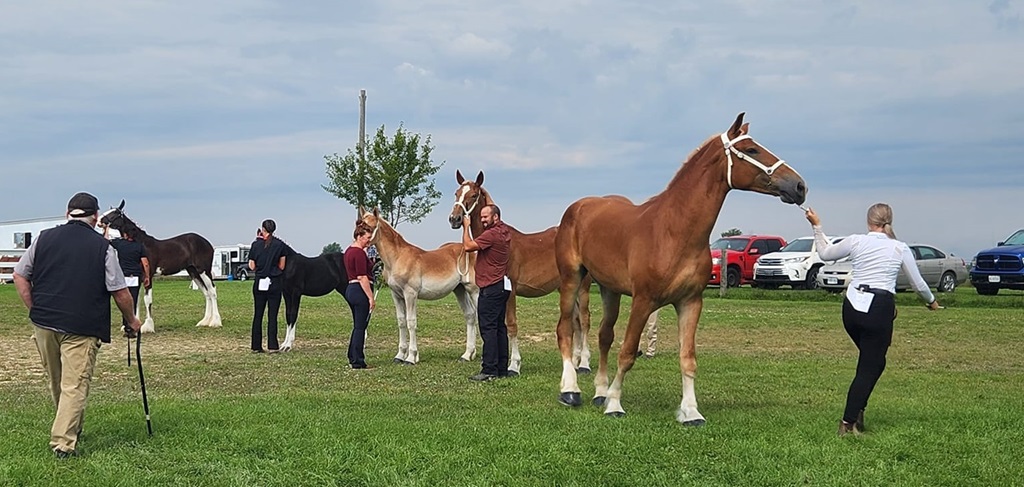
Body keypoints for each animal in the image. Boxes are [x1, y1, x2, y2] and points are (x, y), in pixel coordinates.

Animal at [99, 200, 222, 333]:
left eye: (115, 213)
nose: (100, 220)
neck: (141, 244)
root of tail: (207, 243)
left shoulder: (148, 276)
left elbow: (147, 300)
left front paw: (147, 327)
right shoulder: (138, 277)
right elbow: (136, 300)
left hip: (203, 271)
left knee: (212, 291)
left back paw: (215, 322)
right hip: (193, 272)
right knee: (206, 293)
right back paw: (204, 321)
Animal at [360, 208, 480, 364]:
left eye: (368, 227)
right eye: (358, 224)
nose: (359, 240)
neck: (398, 257)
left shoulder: (410, 294)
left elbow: (411, 322)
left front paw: (411, 357)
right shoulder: (396, 295)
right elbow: (401, 321)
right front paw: (400, 355)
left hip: (474, 290)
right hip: (460, 290)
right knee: (471, 315)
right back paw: (467, 354)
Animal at [447, 170, 660, 374]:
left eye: (473, 195)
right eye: (456, 193)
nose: (454, 219)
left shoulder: (511, 291)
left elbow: (512, 325)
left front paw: (514, 366)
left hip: (583, 289)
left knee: (584, 320)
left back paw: (584, 364)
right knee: (575, 322)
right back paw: (574, 362)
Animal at [553, 113, 806, 424]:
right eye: (751, 150)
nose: (799, 186)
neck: (673, 230)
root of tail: (577, 207)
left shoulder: (690, 302)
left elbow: (688, 358)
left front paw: (691, 411)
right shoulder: (643, 301)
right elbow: (627, 353)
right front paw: (615, 404)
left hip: (609, 289)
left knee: (604, 336)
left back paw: (599, 391)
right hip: (572, 279)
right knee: (565, 329)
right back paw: (570, 391)